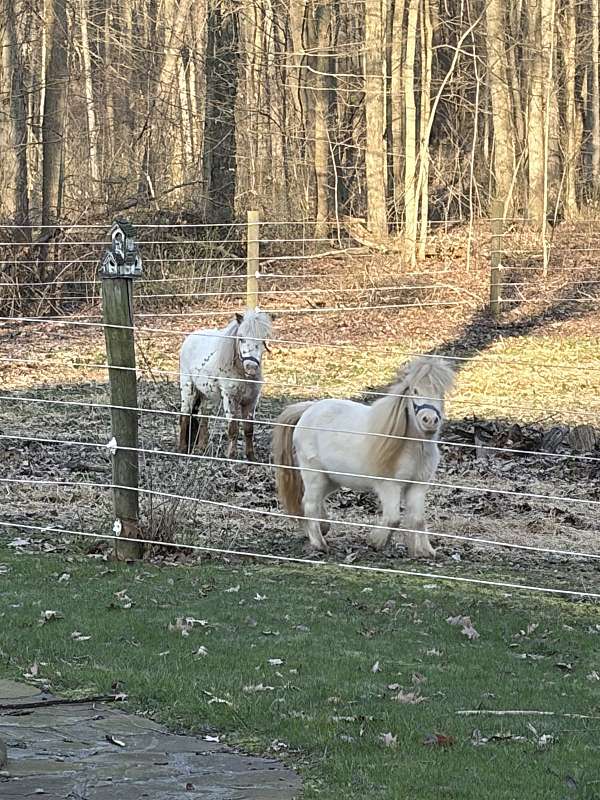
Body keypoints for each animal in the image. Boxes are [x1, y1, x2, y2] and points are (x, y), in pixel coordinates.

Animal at [179, 309, 273, 460]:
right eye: (241, 338)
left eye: (263, 340)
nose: (251, 367)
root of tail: (189, 339)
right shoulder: (229, 398)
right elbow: (233, 428)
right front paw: (231, 455)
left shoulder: (251, 401)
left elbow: (249, 429)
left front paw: (251, 456)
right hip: (188, 388)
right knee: (185, 414)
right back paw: (182, 448)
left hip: (206, 394)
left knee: (203, 416)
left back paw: (201, 447)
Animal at [272, 356, 455, 558]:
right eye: (414, 391)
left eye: (440, 392)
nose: (430, 420)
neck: (408, 446)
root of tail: (308, 409)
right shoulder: (389, 486)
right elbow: (393, 519)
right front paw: (375, 542)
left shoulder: (418, 486)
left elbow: (417, 519)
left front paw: (424, 551)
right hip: (314, 475)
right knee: (310, 504)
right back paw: (320, 545)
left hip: (331, 479)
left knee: (310, 502)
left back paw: (321, 529)